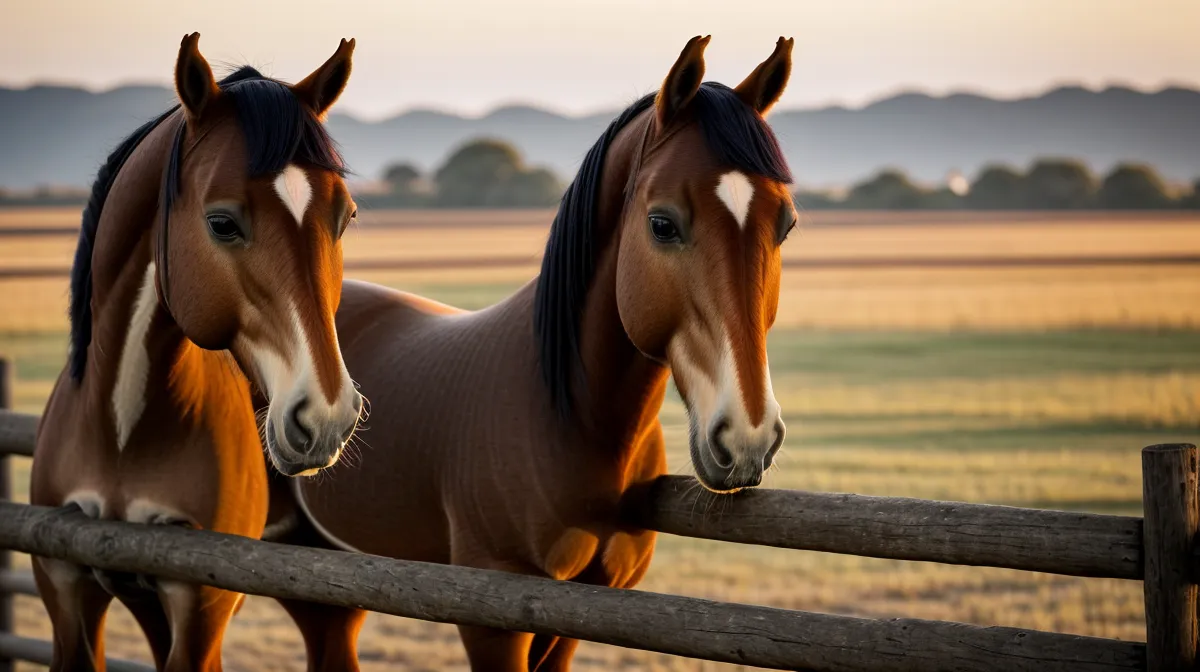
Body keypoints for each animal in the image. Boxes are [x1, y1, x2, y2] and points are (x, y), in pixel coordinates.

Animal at [29, 33, 364, 671]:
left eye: (346, 217)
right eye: (222, 223)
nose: (326, 418)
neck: (122, 434)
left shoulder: (199, 605)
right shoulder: (67, 590)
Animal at [270, 35, 797, 671]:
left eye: (786, 224)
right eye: (662, 224)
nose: (747, 437)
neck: (562, 416)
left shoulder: (578, 611)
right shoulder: (493, 622)